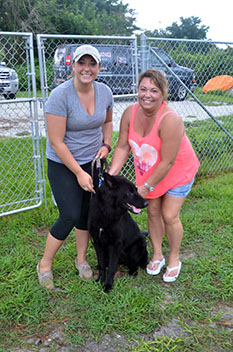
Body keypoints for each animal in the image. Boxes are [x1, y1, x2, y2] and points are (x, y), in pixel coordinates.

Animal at [88, 159, 148, 292]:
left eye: (136, 190)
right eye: (130, 192)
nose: (146, 203)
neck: (105, 211)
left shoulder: (115, 244)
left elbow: (111, 268)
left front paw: (107, 286)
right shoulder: (97, 241)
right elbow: (102, 264)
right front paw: (100, 279)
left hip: (138, 244)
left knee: (135, 263)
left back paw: (133, 272)